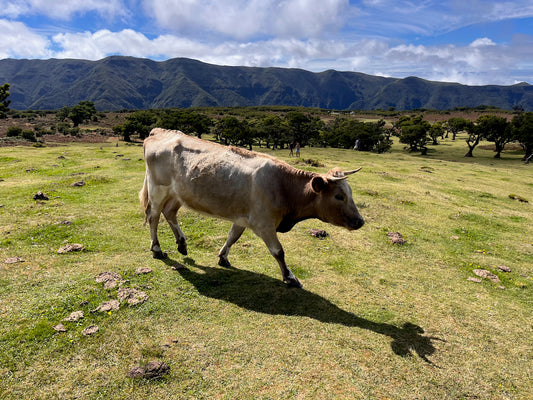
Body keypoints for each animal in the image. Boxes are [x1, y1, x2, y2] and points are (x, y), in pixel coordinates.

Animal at [139, 128, 364, 288]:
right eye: (339, 196)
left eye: (350, 193)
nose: (360, 221)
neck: (283, 185)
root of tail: (160, 132)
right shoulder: (264, 224)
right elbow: (278, 251)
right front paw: (290, 277)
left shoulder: (242, 218)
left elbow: (233, 237)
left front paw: (223, 257)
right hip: (157, 190)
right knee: (154, 216)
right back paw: (157, 249)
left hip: (177, 193)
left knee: (170, 213)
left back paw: (182, 244)